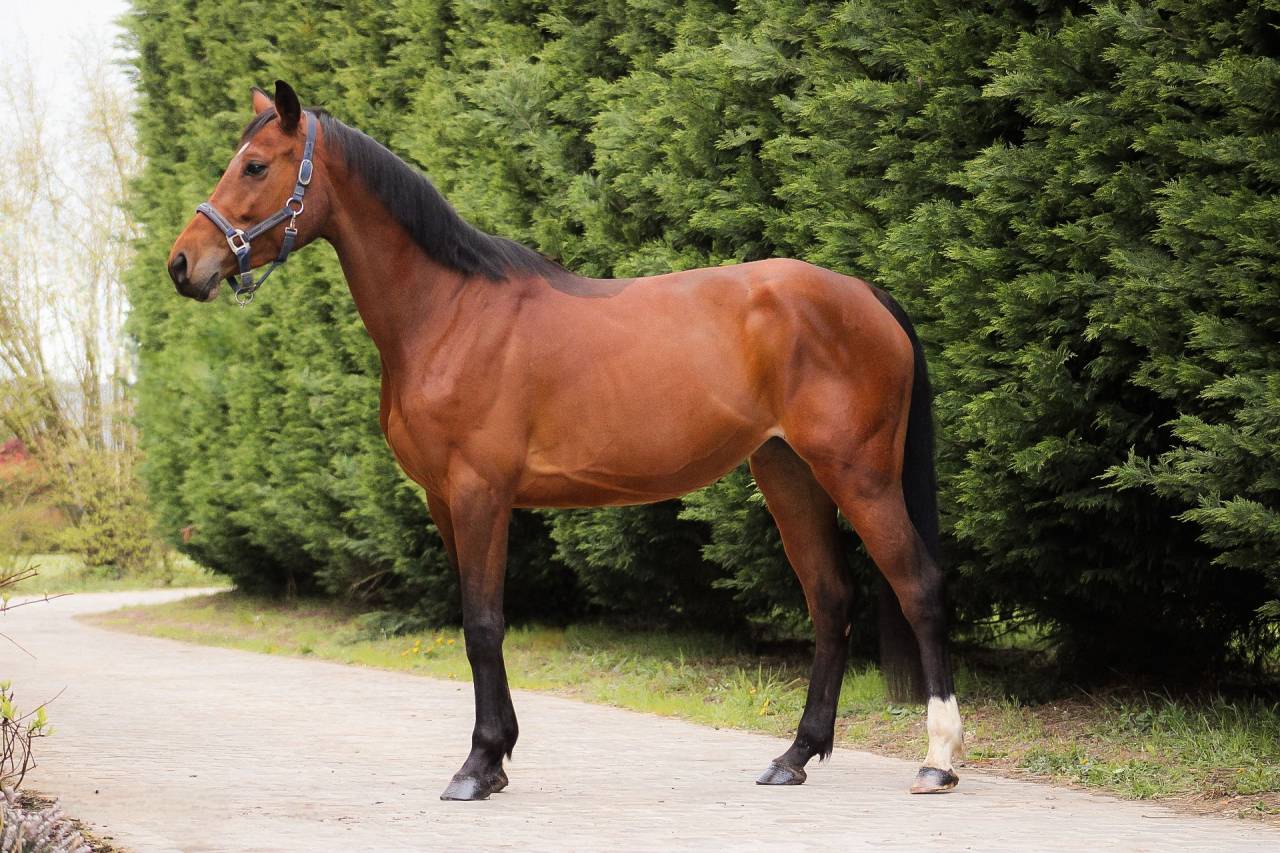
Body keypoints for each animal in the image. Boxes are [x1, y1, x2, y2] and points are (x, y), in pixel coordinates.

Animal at [167, 80, 964, 801]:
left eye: (255, 166)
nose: (182, 264)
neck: (449, 313)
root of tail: (867, 294)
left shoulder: (480, 493)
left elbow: (483, 624)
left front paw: (477, 765)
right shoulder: (442, 500)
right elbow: (478, 623)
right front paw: (496, 757)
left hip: (857, 472)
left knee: (918, 585)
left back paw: (938, 760)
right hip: (787, 472)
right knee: (830, 598)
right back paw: (794, 755)